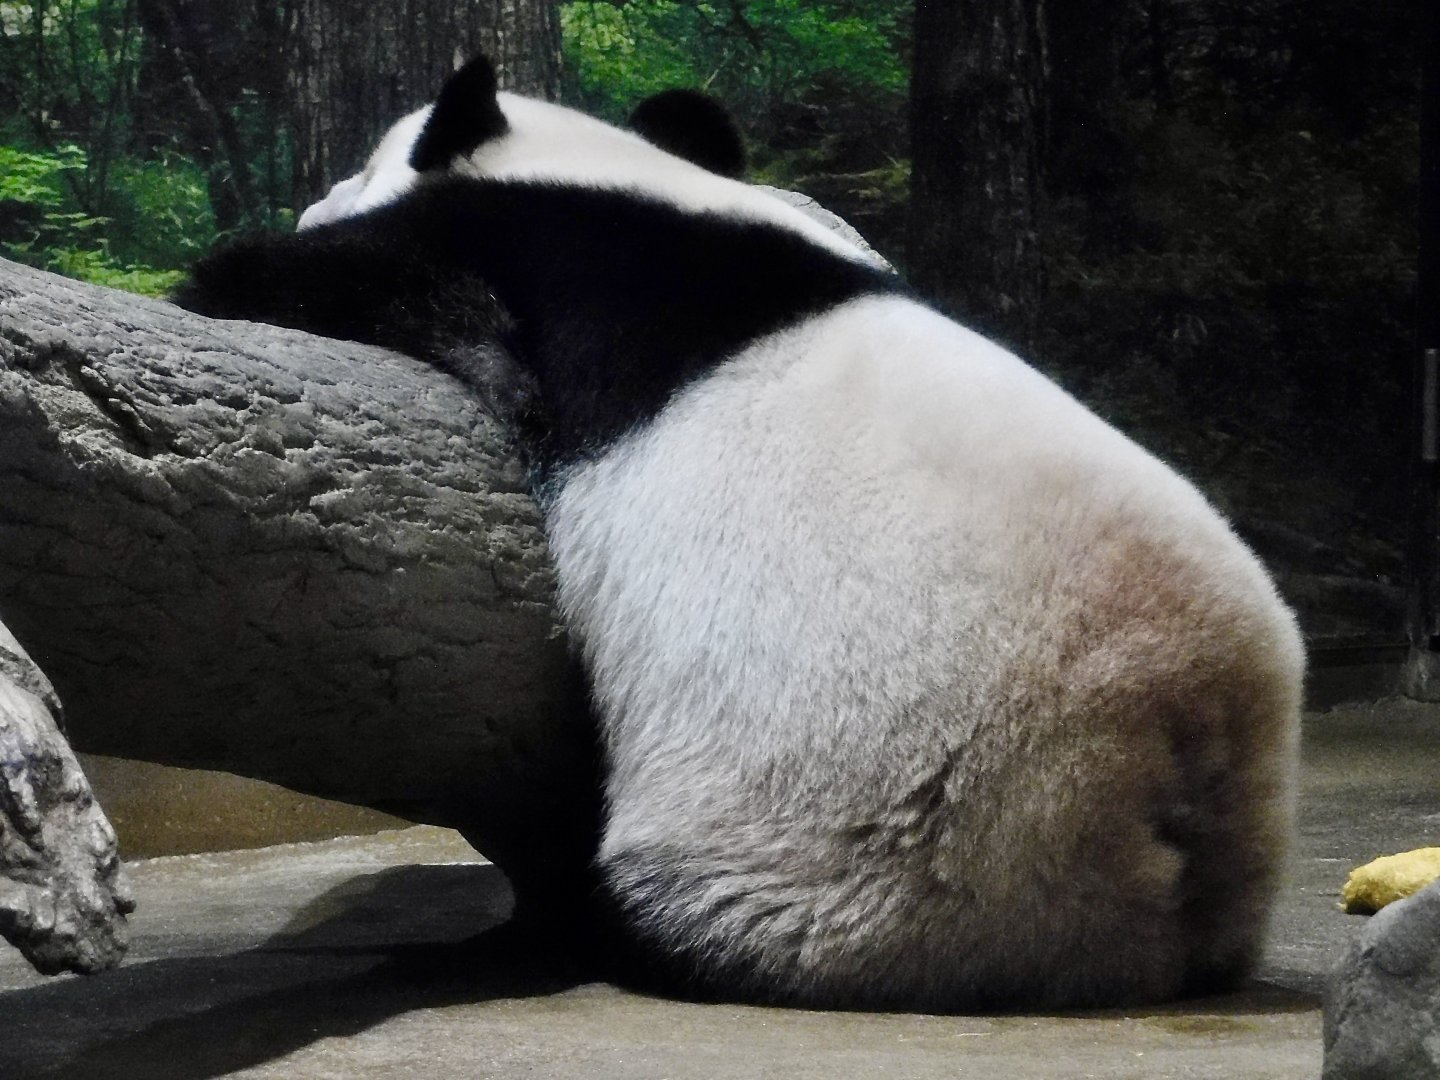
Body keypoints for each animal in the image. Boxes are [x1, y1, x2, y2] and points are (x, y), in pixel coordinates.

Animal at [176, 55, 1304, 1012]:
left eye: (363, 161)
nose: (313, 193)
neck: (618, 173)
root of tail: (1187, 752)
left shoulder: (539, 244)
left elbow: (311, 282)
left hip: (890, 822)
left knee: (698, 896)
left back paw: (598, 930)